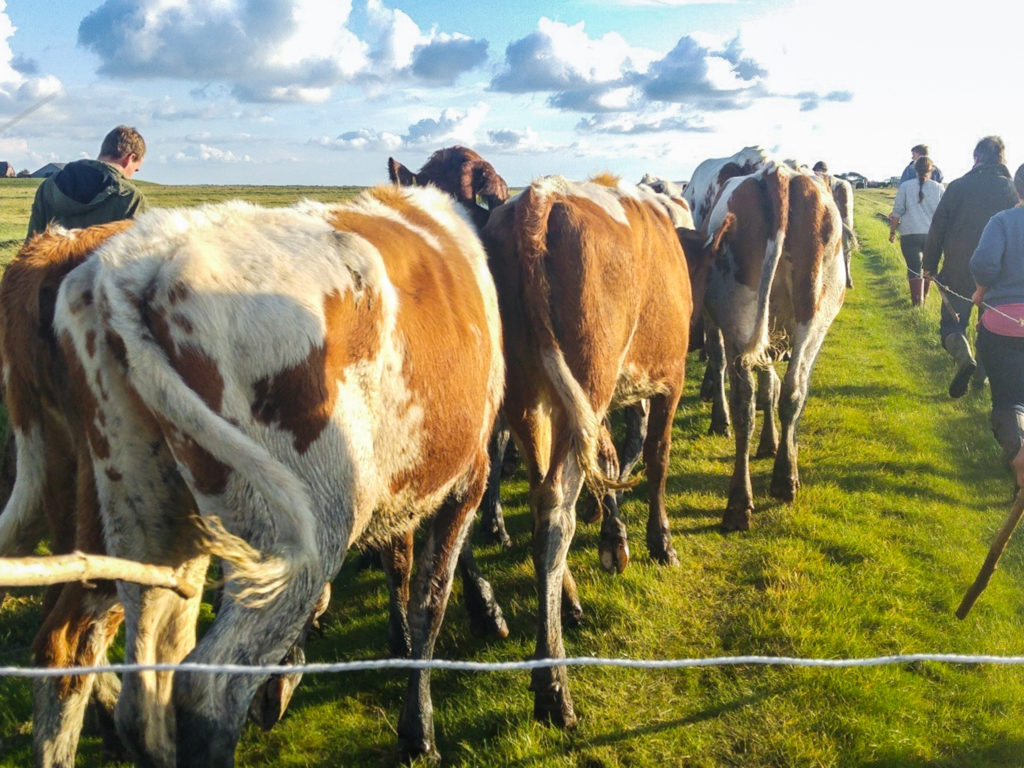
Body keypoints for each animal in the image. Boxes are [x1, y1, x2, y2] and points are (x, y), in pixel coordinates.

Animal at [49, 185, 505, 765]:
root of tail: (134, 264)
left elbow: (401, 567)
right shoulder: (468, 476)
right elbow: (432, 598)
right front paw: (418, 729)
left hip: (149, 519)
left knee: (143, 697)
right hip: (305, 525)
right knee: (206, 691)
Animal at [700, 162, 843, 532]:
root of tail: (777, 172)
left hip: (741, 317)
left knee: (748, 400)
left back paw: (741, 502)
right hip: (814, 315)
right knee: (792, 390)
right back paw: (782, 480)